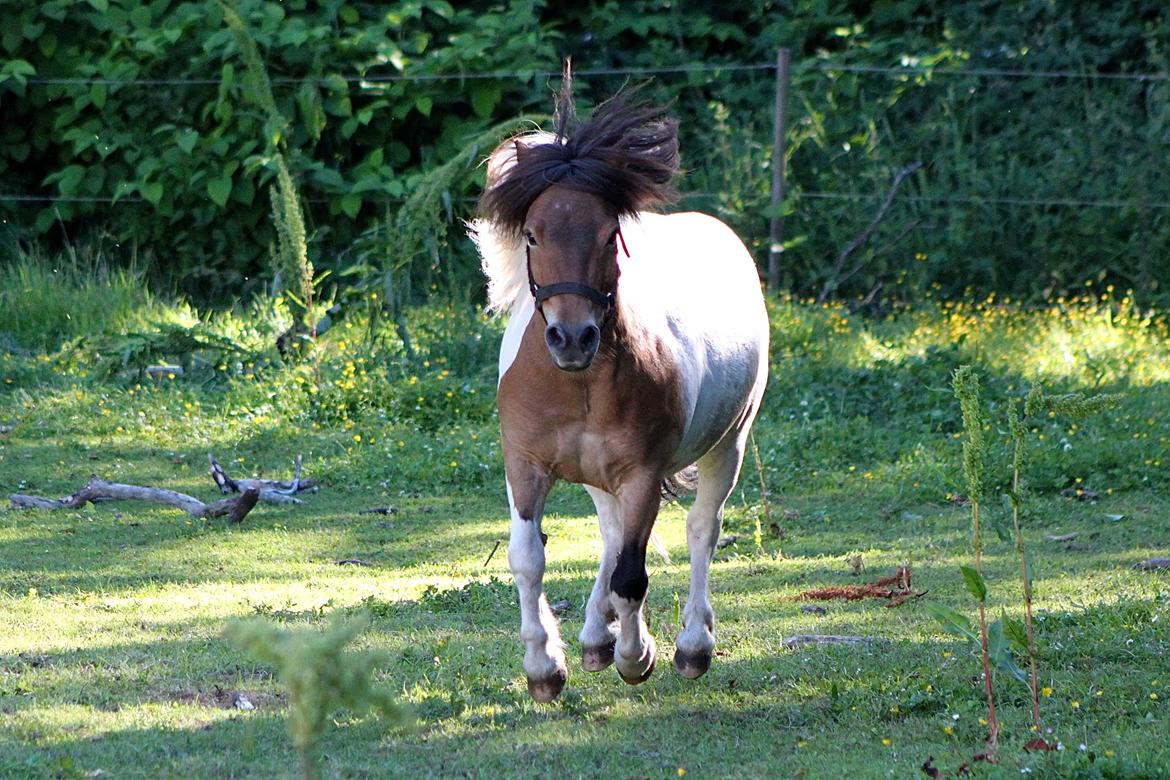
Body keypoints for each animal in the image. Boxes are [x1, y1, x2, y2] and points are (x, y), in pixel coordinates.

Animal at [470, 79, 772, 701]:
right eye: (532, 235)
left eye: (610, 234)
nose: (572, 337)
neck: (578, 383)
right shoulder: (525, 465)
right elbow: (528, 560)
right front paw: (545, 667)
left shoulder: (642, 474)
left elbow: (632, 576)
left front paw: (638, 656)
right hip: (598, 475)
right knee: (610, 536)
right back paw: (594, 638)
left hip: (727, 445)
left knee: (700, 530)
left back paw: (690, 646)